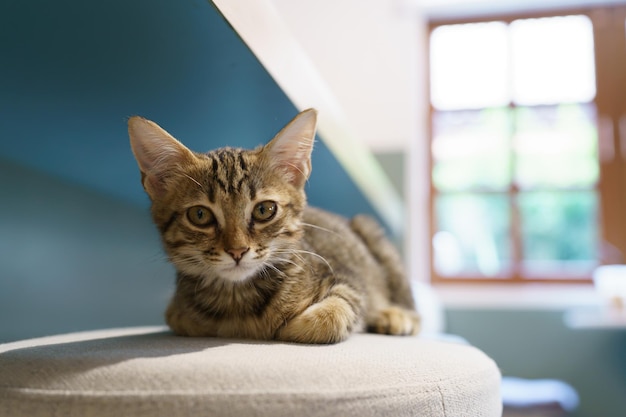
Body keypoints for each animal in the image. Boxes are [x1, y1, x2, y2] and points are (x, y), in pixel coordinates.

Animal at [128, 109, 420, 342]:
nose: (237, 251)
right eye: (200, 215)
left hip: (372, 235)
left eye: (264, 210)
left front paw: (292, 326)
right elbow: (182, 319)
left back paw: (395, 316)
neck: (237, 299)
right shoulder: (176, 311)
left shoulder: (349, 279)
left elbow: (339, 310)